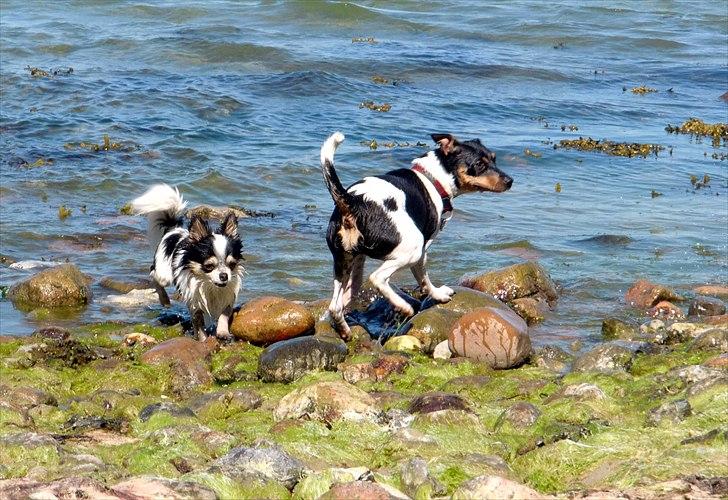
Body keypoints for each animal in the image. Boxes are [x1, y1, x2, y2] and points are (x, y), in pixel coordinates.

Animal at [130, 186, 242, 342]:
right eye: (209, 266)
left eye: (231, 264)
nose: (224, 276)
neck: (210, 286)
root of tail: (173, 229)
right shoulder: (195, 302)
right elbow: (198, 322)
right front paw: (203, 339)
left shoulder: (227, 295)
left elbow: (224, 314)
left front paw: (222, 331)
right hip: (164, 273)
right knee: (153, 274)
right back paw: (164, 299)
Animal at [318, 131, 512, 340]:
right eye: (479, 164)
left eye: (494, 159)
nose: (510, 181)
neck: (433, 179)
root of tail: (355, 202)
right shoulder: (423, 251)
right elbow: (424, 280)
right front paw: (438, 294)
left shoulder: (359, 257)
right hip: (413, 249)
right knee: (377, 278)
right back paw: (404, 307)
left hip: (343, 261)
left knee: (335, 306)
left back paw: (344, 330)